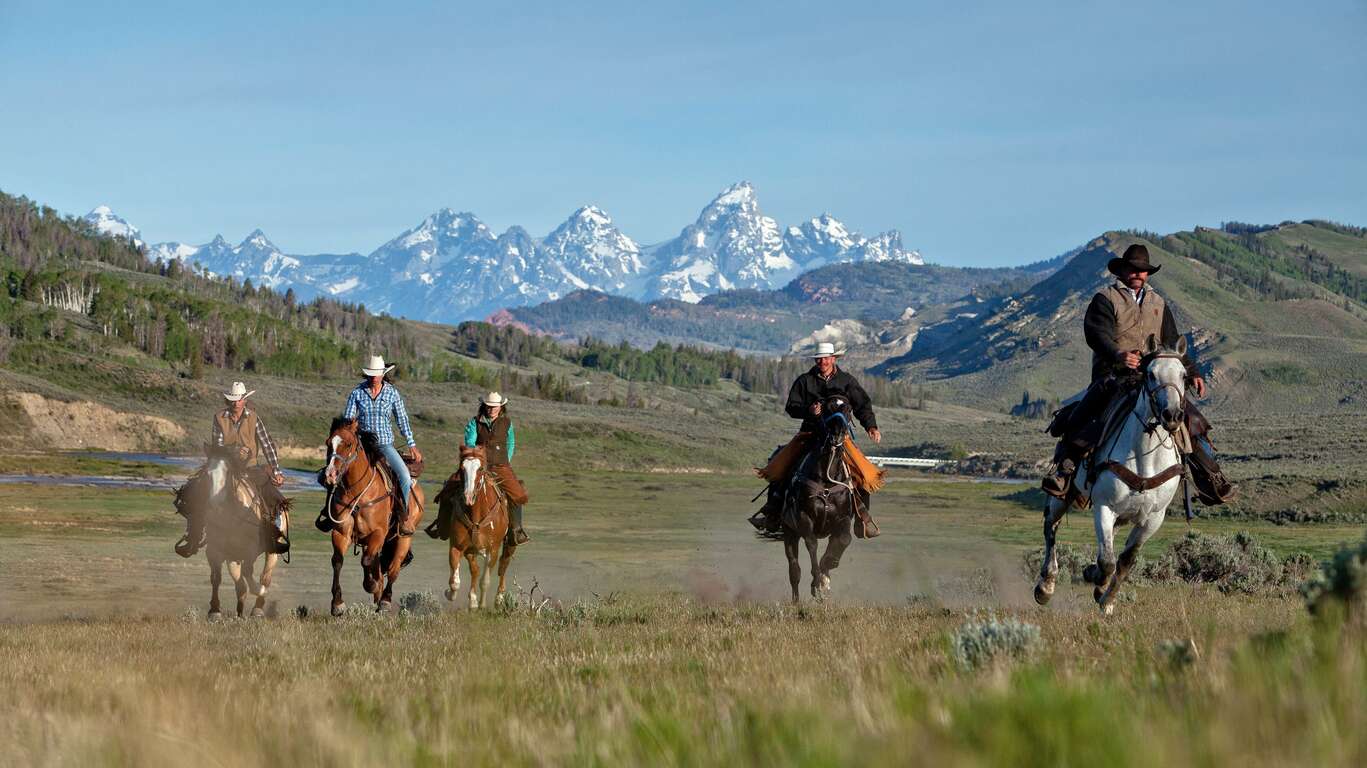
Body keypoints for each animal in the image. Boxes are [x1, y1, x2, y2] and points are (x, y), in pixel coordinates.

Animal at [323, 415, 423, 612]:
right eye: (328, 443)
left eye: (348, 444)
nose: (330, 474)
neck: (358, 492)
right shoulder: (341, 532)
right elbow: (337, 561)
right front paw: (337, 603)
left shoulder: (378, 532)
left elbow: (367, 562)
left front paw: (371, 585)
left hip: (403, 539)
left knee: (393, 569)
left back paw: (384, 600)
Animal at [437, 445, 516, 606]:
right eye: (462, 468)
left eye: (480, 469)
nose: (468, 496)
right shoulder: (457, 547)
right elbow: (455, 581)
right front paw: (450, 594)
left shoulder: (492, 550)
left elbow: (485, 581)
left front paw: (482, 605)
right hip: (471, 550)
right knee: (475, 569)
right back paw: (473, 600)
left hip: (508, 545)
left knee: (503, 566)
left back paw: (499, 598)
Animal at [787, 396, 858, 601]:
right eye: (826, 408)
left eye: (849, 409)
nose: (837, 436)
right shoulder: (804, 517)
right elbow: (812, 545)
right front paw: (817, 583)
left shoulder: (843, 518)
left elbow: (843, 541)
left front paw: (825, 577)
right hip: (789, 532)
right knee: (794, 570)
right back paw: (796, 602)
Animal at [1027, 332, 1192, 612]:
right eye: (1151, 374)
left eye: (1183, 375)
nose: (1172, 415)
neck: (1145, 457)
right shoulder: (1104, 507)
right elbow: (1107, 561)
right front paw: (1098, 582)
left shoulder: (1153, 519)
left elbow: (1124, 562)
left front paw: (1106, 600)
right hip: (1063, 495)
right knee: (1051, 526)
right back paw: (1045, 587)